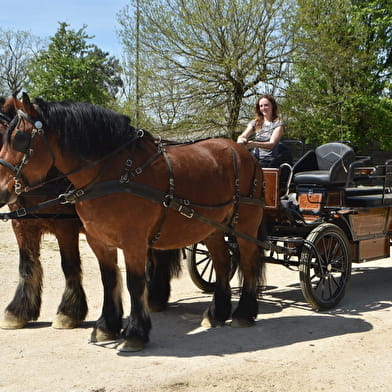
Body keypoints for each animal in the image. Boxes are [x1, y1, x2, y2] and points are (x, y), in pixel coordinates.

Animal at [0, 92, 266, 352]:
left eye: (20, 139)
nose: (2, 191)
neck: (114, 174)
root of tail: (241, 152)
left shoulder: (128, 241)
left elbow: (134, 283)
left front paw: (134, 333)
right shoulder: (96, 240)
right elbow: (107, 279)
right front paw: (106, 326)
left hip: (245, 226)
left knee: (249, 263)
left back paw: (243, 313)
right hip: (212, 229)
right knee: (222, 263)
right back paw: (216, 313)